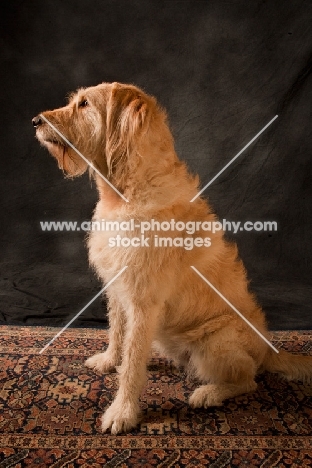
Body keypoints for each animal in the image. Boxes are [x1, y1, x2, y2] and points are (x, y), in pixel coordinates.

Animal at [32, 81, 312, 436]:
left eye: (84, 104)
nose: (35, 121)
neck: (126, 190)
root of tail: (267, 350)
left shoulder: (143, 302)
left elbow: (133, 364)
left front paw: (122, 412)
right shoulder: (117, 288)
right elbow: (117, 332)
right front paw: (110, 360)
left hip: (216, 343)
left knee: (249, 381)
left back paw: (209, 393)